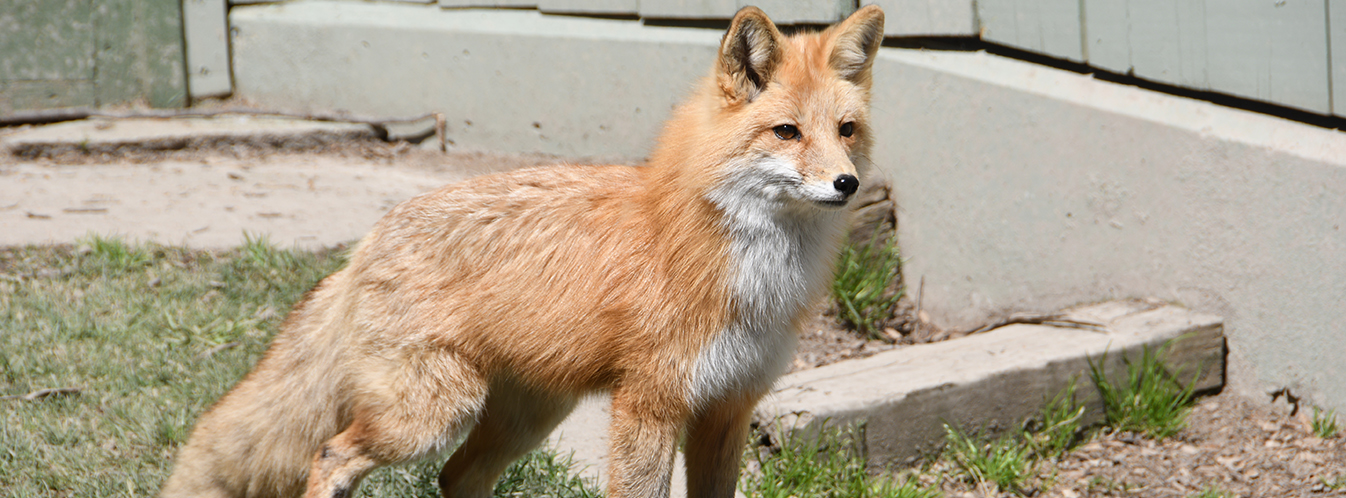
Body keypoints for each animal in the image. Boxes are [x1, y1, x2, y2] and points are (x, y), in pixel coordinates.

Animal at [161, 5, 885, 498]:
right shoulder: (649, 405)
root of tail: (367, 241)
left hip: (524, 419)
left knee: (454, 477)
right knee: (332, 455)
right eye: (787, 132)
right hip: (429, 416)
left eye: (846, 131)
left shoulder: (727, 409)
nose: (847, 184)